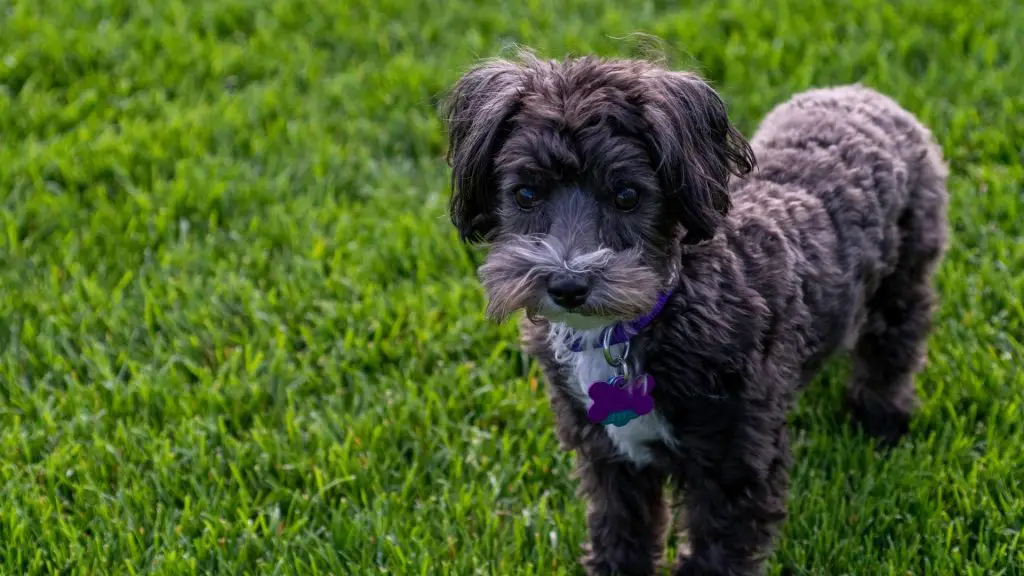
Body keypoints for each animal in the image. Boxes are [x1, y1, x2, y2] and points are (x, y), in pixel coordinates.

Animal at [440, 50, 950, 573]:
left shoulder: (733, 461)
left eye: (627, 195)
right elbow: (619, 530)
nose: (567, 284)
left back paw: (881, 421)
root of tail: (863, 94)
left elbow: (717, 551)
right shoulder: (610, 457)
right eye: (526, 193)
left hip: (905, 274)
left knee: (893, 347)